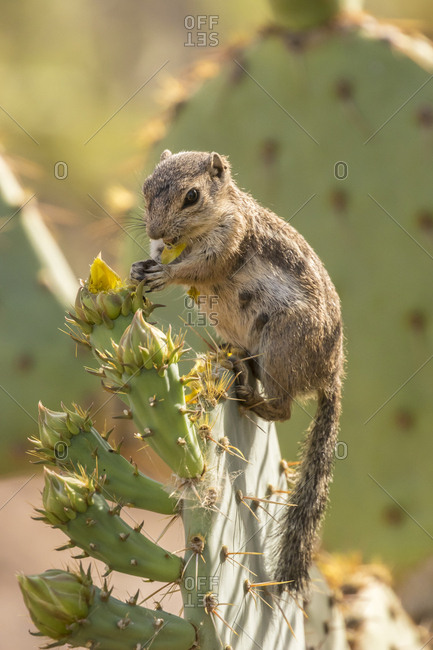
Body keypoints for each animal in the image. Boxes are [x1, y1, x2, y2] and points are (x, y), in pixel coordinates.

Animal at [130, 149, 344, 595]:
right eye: (145, 188)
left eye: (192, 196)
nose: (157, 229)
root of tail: (331, 373)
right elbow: (158, 256)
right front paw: (142, 267)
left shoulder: (231, 239)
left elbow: (200, 268)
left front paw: (166, 273)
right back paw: (236, 367)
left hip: (282, 344)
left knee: (282, 408)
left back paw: (249, 396)